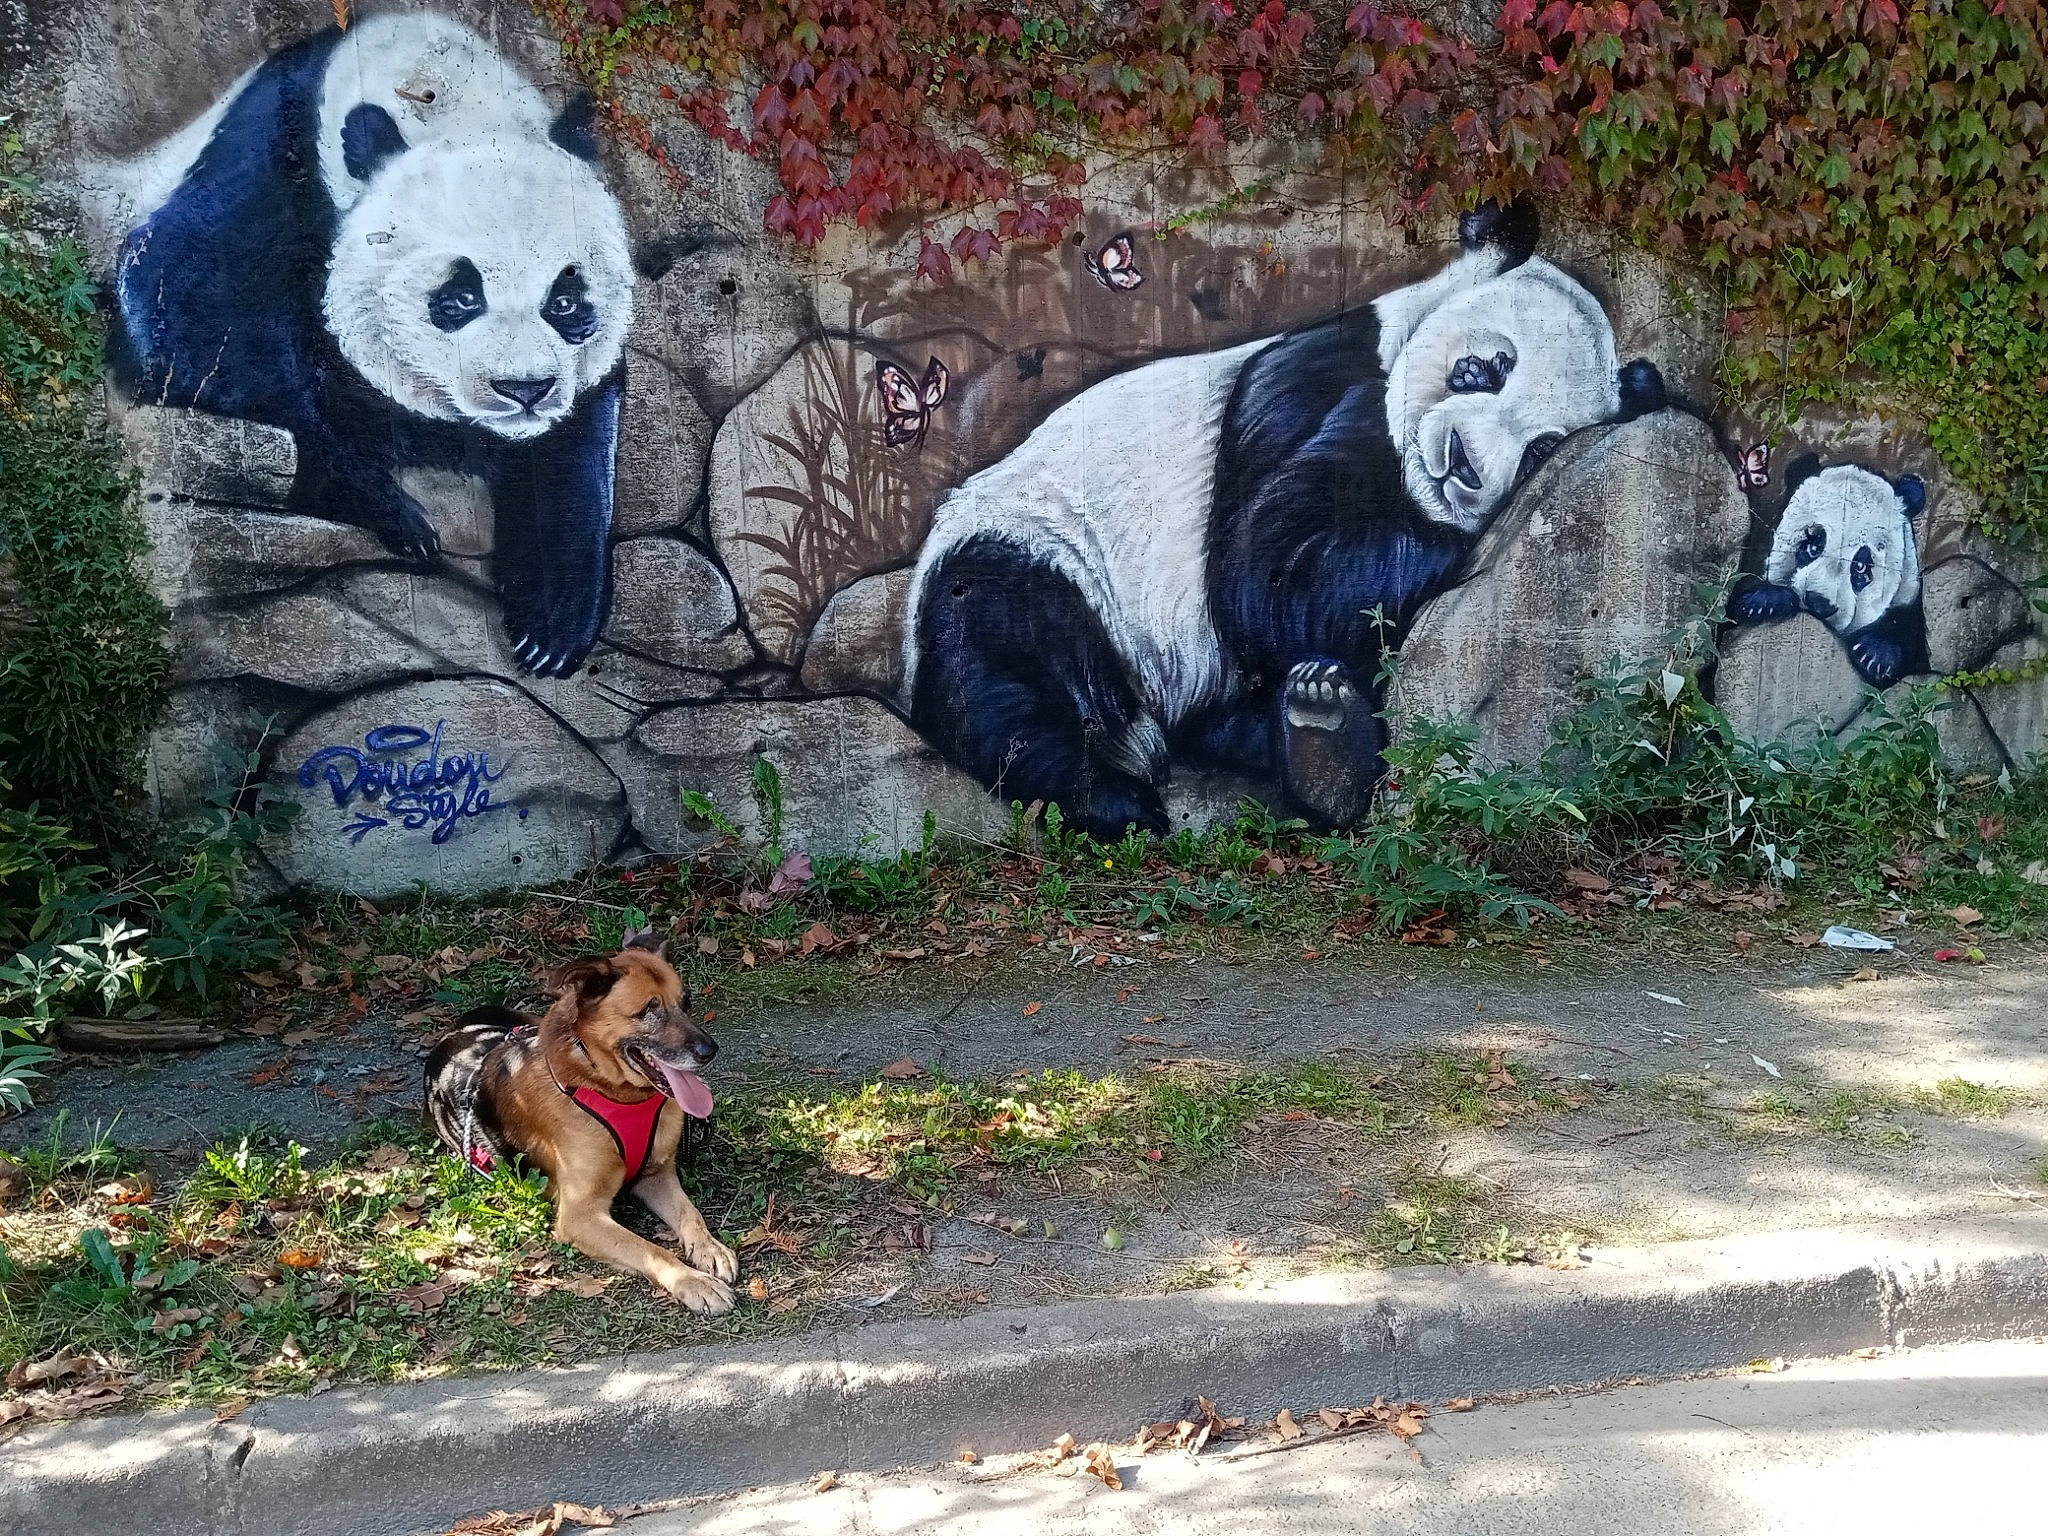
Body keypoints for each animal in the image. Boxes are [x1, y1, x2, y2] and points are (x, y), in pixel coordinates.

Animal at [107, 14, 632, 676]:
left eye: (565, 301)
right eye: (460, 297)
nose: (524, 391)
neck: (445, 99)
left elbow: (572, 451)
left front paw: (552, 627)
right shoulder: (271, 164)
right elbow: (188, 304)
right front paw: (389, 507)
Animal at [902, 200, 1667, 837]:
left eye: (1540, 448)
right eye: (1484, 368)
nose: (1465, 466)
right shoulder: (1313, 384)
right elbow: (1267, 577)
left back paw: (1322, 743)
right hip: (1042, 549)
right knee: (1000, 665)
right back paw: (1114, 799)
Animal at [1727, 459, 1928, 688]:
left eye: (1860, 566)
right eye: (1813, 547)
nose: (1819, 602)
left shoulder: (1908, 594)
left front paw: (1874, 654)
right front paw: (1765, 602)